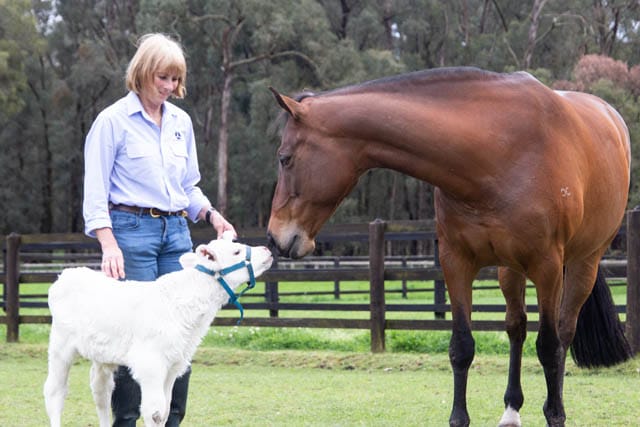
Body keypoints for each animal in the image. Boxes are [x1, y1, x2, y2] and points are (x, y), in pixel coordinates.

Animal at [266, 67, 633, 427]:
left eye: (285, 159)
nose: (273, 237)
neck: (498, 152)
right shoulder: (455, 262)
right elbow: (461, 346)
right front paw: (459, 418)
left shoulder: (547, 268)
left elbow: (548, 346)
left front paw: (555, 416)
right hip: (509, 269)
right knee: (515, 327)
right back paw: (511, 409)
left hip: (583, 263)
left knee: (564, 333)